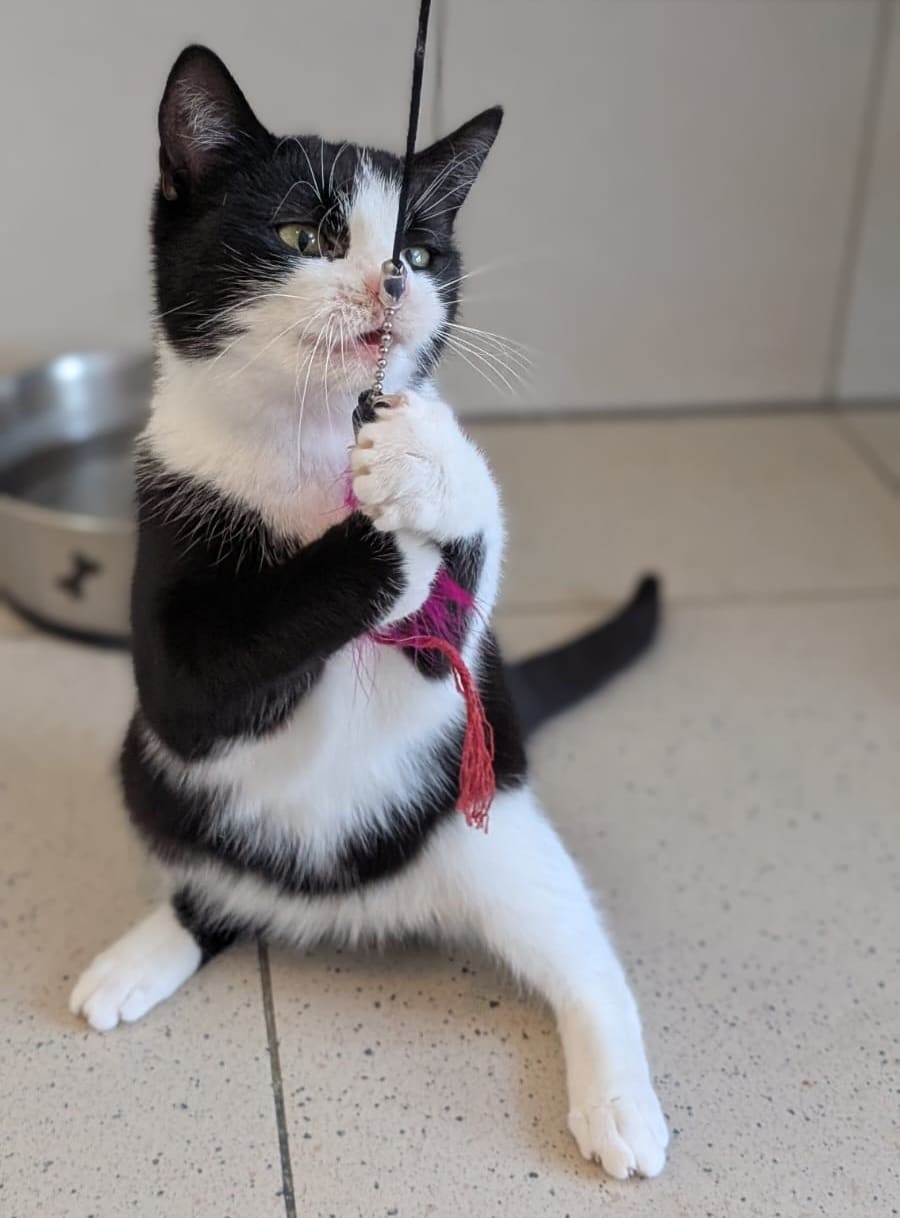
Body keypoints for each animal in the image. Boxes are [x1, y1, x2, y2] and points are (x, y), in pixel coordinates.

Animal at [69, 45, 668, 1180]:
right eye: (306, 237)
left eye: (421, 251)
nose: (390, 282)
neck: (311, 433)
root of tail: (352, 909)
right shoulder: (172, 596)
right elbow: (206, 680)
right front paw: (379, 548)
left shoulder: (453, 668)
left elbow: (454, 616)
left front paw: (428, 463)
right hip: (145, 772)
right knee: (209, 884)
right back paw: (139, 956)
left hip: (496, 826)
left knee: (581, 953)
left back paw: (621, 1104)